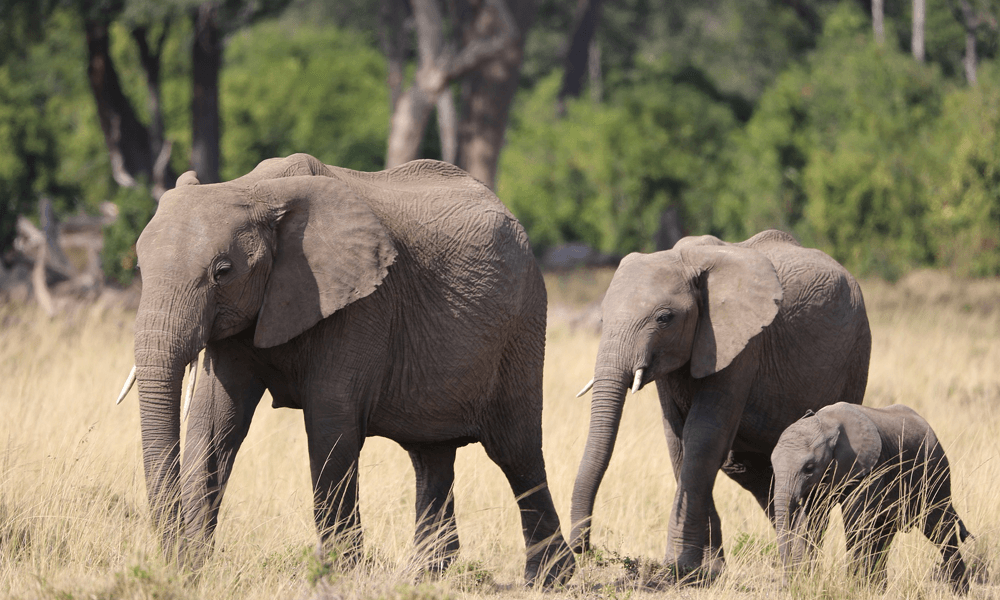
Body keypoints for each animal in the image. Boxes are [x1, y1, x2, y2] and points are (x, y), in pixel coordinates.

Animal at [114, 152, 576, 584]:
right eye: (139, 268)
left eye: (222, 272)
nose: (175, 564)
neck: (258, 190)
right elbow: (214, 425)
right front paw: (194, 569)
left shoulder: (361, 304)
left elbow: (329, 427)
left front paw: (339, 574)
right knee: (431, 455)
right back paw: (425, 576)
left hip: (522, 323)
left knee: (515, 451)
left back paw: (549, 579)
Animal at [576, 229, 872, 580]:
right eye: (603, 318)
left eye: (664, 318)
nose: (582, 548)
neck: (685, 259)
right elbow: (678, 441)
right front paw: (706, 570)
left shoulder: (742, 345)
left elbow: (703, 438)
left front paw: (681, 569)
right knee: (751, 470)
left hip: (856, 354)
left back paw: (804, 570)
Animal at [768, 400, 972, 592]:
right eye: (772, 465)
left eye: (809, 468)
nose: (785, 584)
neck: (827, 423)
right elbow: (811, 521)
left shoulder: (870, 469)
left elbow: (856, 522)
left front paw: (850, 587)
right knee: (884, 536)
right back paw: (878, 590)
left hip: (935, 472)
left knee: (940, 529)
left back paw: (960, 592)